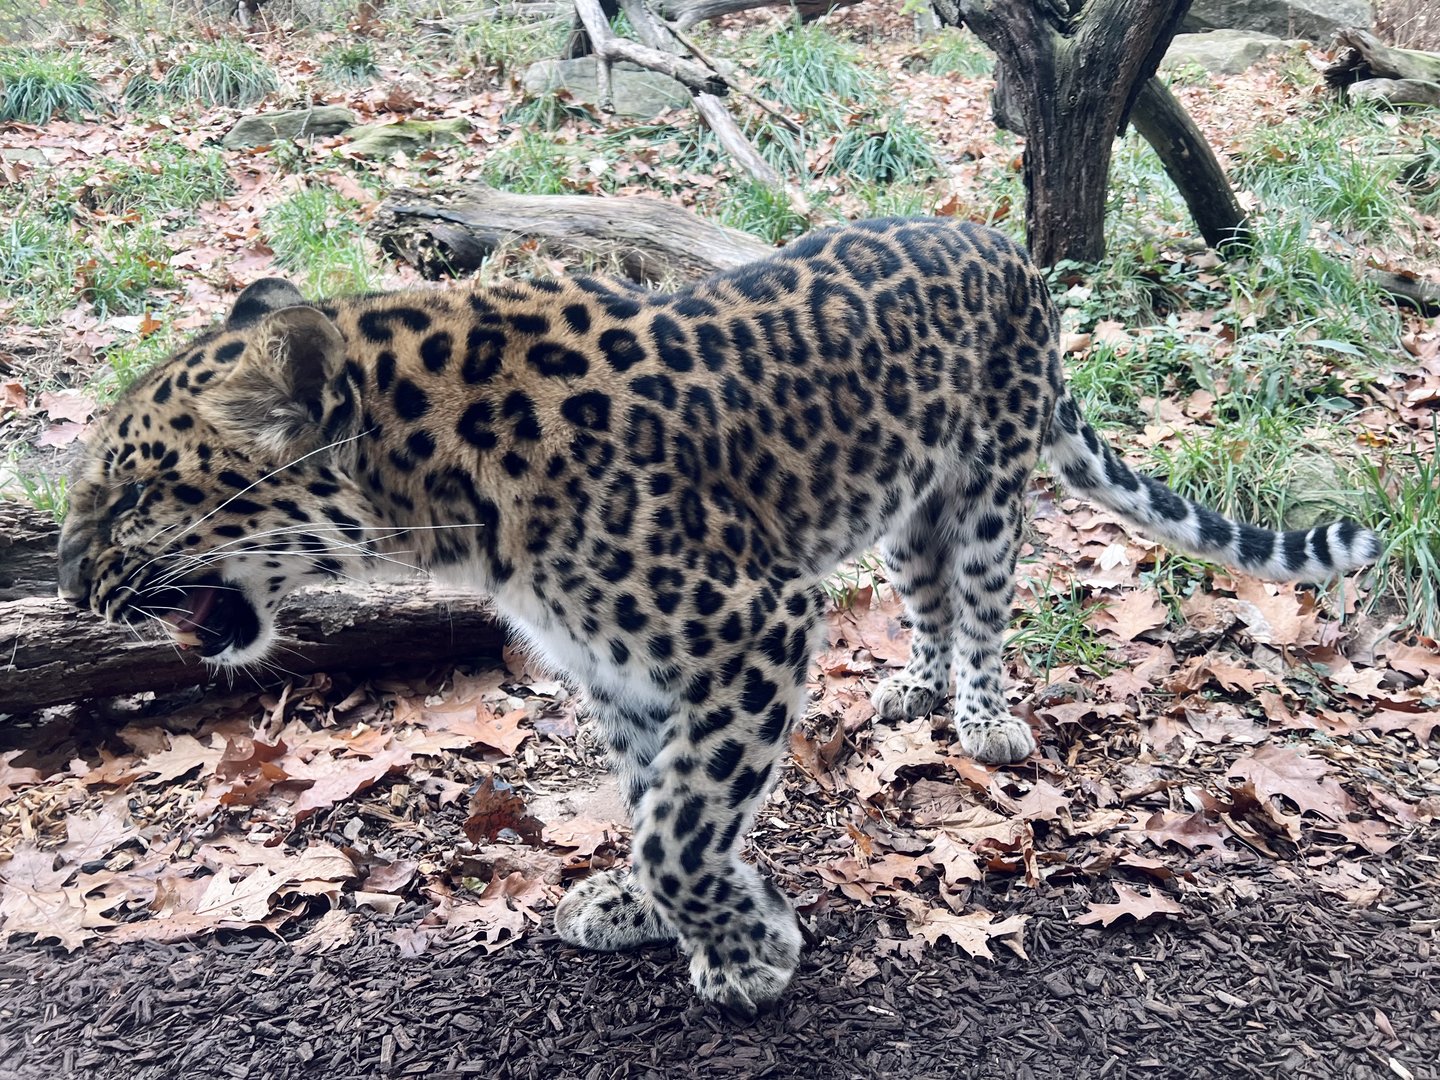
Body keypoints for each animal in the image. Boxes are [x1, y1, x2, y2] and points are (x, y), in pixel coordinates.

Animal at [57, 217, 1381, 1012]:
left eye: (127, 491)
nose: (67, 586)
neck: (441, 492)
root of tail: (1006, 247)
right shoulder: (625, 671)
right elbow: (657, 798)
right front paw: (652, 916)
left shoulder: (755, 621)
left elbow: (679, 824)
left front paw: (750, 953)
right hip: (901, 504)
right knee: (929, 599)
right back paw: (909, 686)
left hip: (990, 486)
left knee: (989, 608)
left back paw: (982, 717)